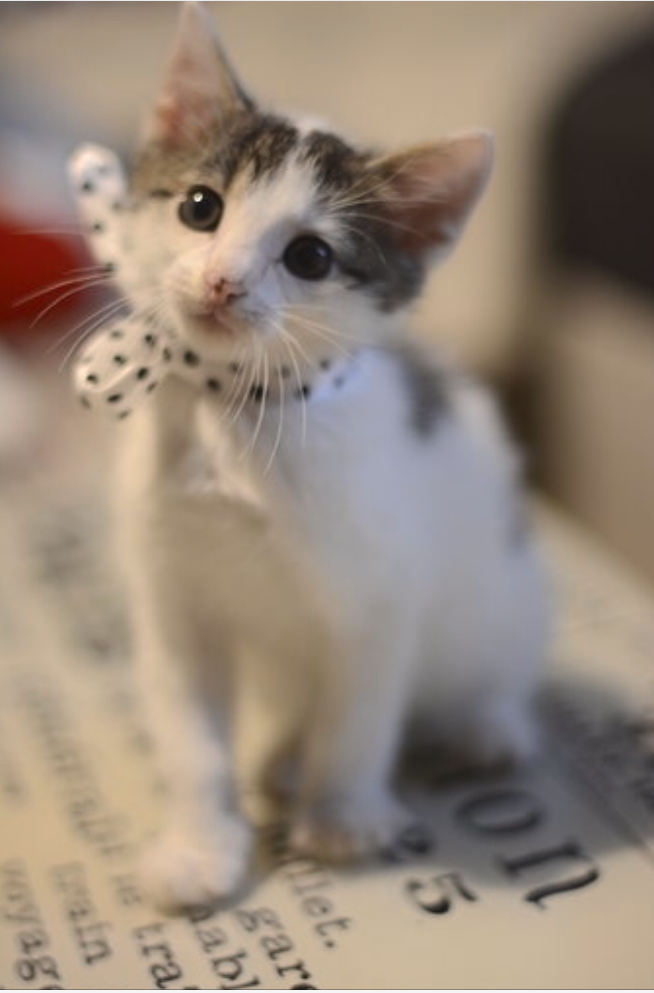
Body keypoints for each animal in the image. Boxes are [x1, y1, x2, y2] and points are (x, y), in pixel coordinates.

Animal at [70, 0, 551, 913]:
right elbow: (192, 742)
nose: (222, 282)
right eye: (200, 207)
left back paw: (485, 729)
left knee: (492, 676)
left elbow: (357, 719)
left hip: (507, 603)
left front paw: (340, 816)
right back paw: (276, 756)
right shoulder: (172, 603)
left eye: (310, 257)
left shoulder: (379, 596)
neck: (234, 415)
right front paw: (200, 847)